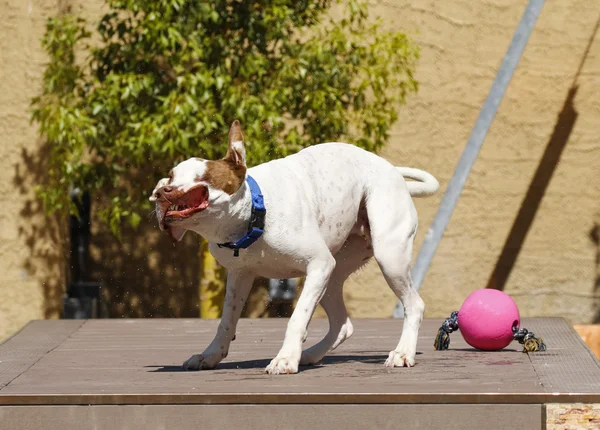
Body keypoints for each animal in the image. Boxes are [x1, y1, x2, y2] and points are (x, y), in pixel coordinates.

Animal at [151, 120, 436, 372]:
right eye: (171, 176)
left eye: (202, 178)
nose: (161, 191)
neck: (255, 213)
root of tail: (394, 171)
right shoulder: (240, 275)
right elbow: (226, 322)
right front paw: (209, 356)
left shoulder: (318, 264)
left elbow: (297, 317)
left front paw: (286, 359)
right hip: (333, 274)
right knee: (343, 325)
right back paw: (310, 355)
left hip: (388, 258)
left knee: (414, 305)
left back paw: (402, 353)